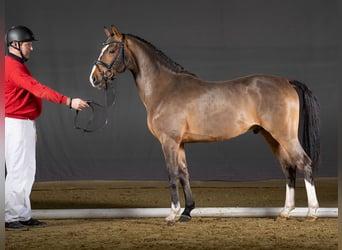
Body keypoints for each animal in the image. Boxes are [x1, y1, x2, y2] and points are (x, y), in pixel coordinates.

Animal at [89, 26, 320, 226]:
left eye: (111, 50)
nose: (94, 78)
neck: (165, 88)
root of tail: (287, 81)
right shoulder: (180, 143)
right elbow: (184, 174)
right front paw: (187, 212)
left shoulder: (169, 142)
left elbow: (172, 175)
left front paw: (172, 215)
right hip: (271, 136)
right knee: (289, 168)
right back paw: (285, 212)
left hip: (284, 135)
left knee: (304, 163)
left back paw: (311, 212)